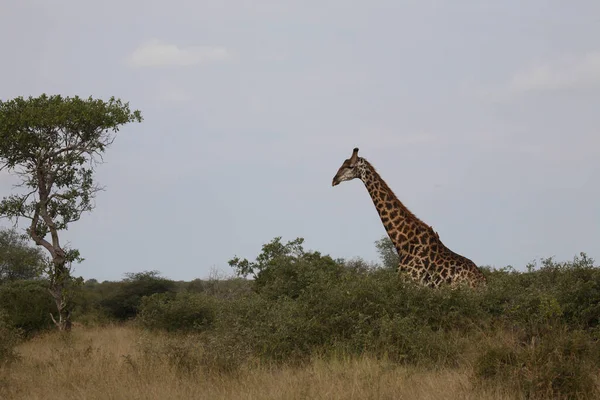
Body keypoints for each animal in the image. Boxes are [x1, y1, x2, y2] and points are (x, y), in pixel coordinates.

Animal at [332, 147, 488, 288]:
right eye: (343, 163)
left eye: (350, 166)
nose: (334, 180)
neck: (403, 244)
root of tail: (483, 283)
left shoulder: (412, 284)